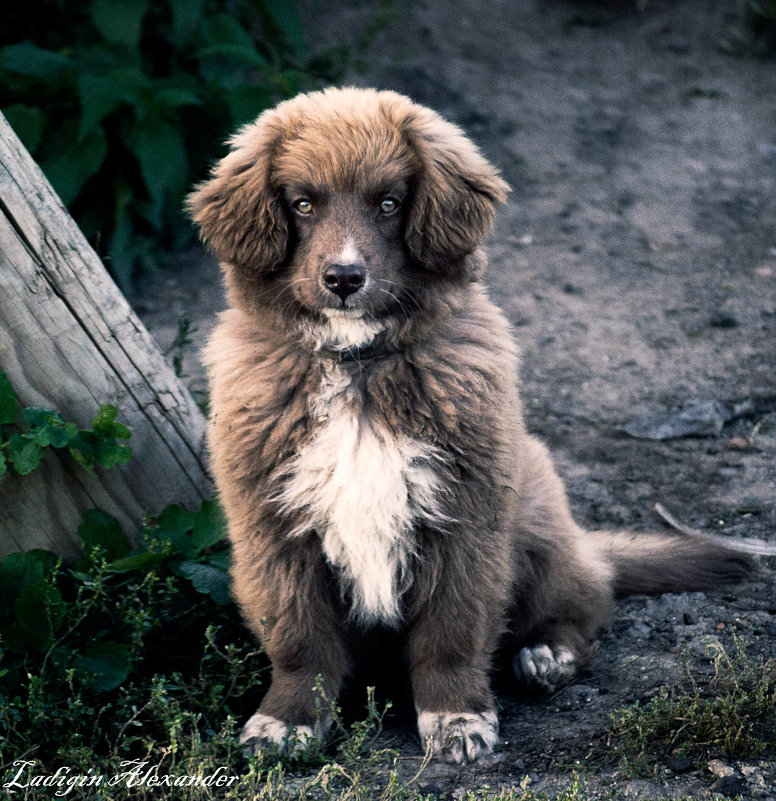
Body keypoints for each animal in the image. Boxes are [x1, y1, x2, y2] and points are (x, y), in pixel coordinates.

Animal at [186, 87, 752, 764]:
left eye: (389, 203)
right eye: (301, 203)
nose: (344, 279)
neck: (357, 363)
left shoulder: (466, 516)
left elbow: (452, 631)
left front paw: (456, 718)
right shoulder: (272, 526)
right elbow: (298, 637)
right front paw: (287, 720)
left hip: (538, 518)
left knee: (585, 598)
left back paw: (547, 655)